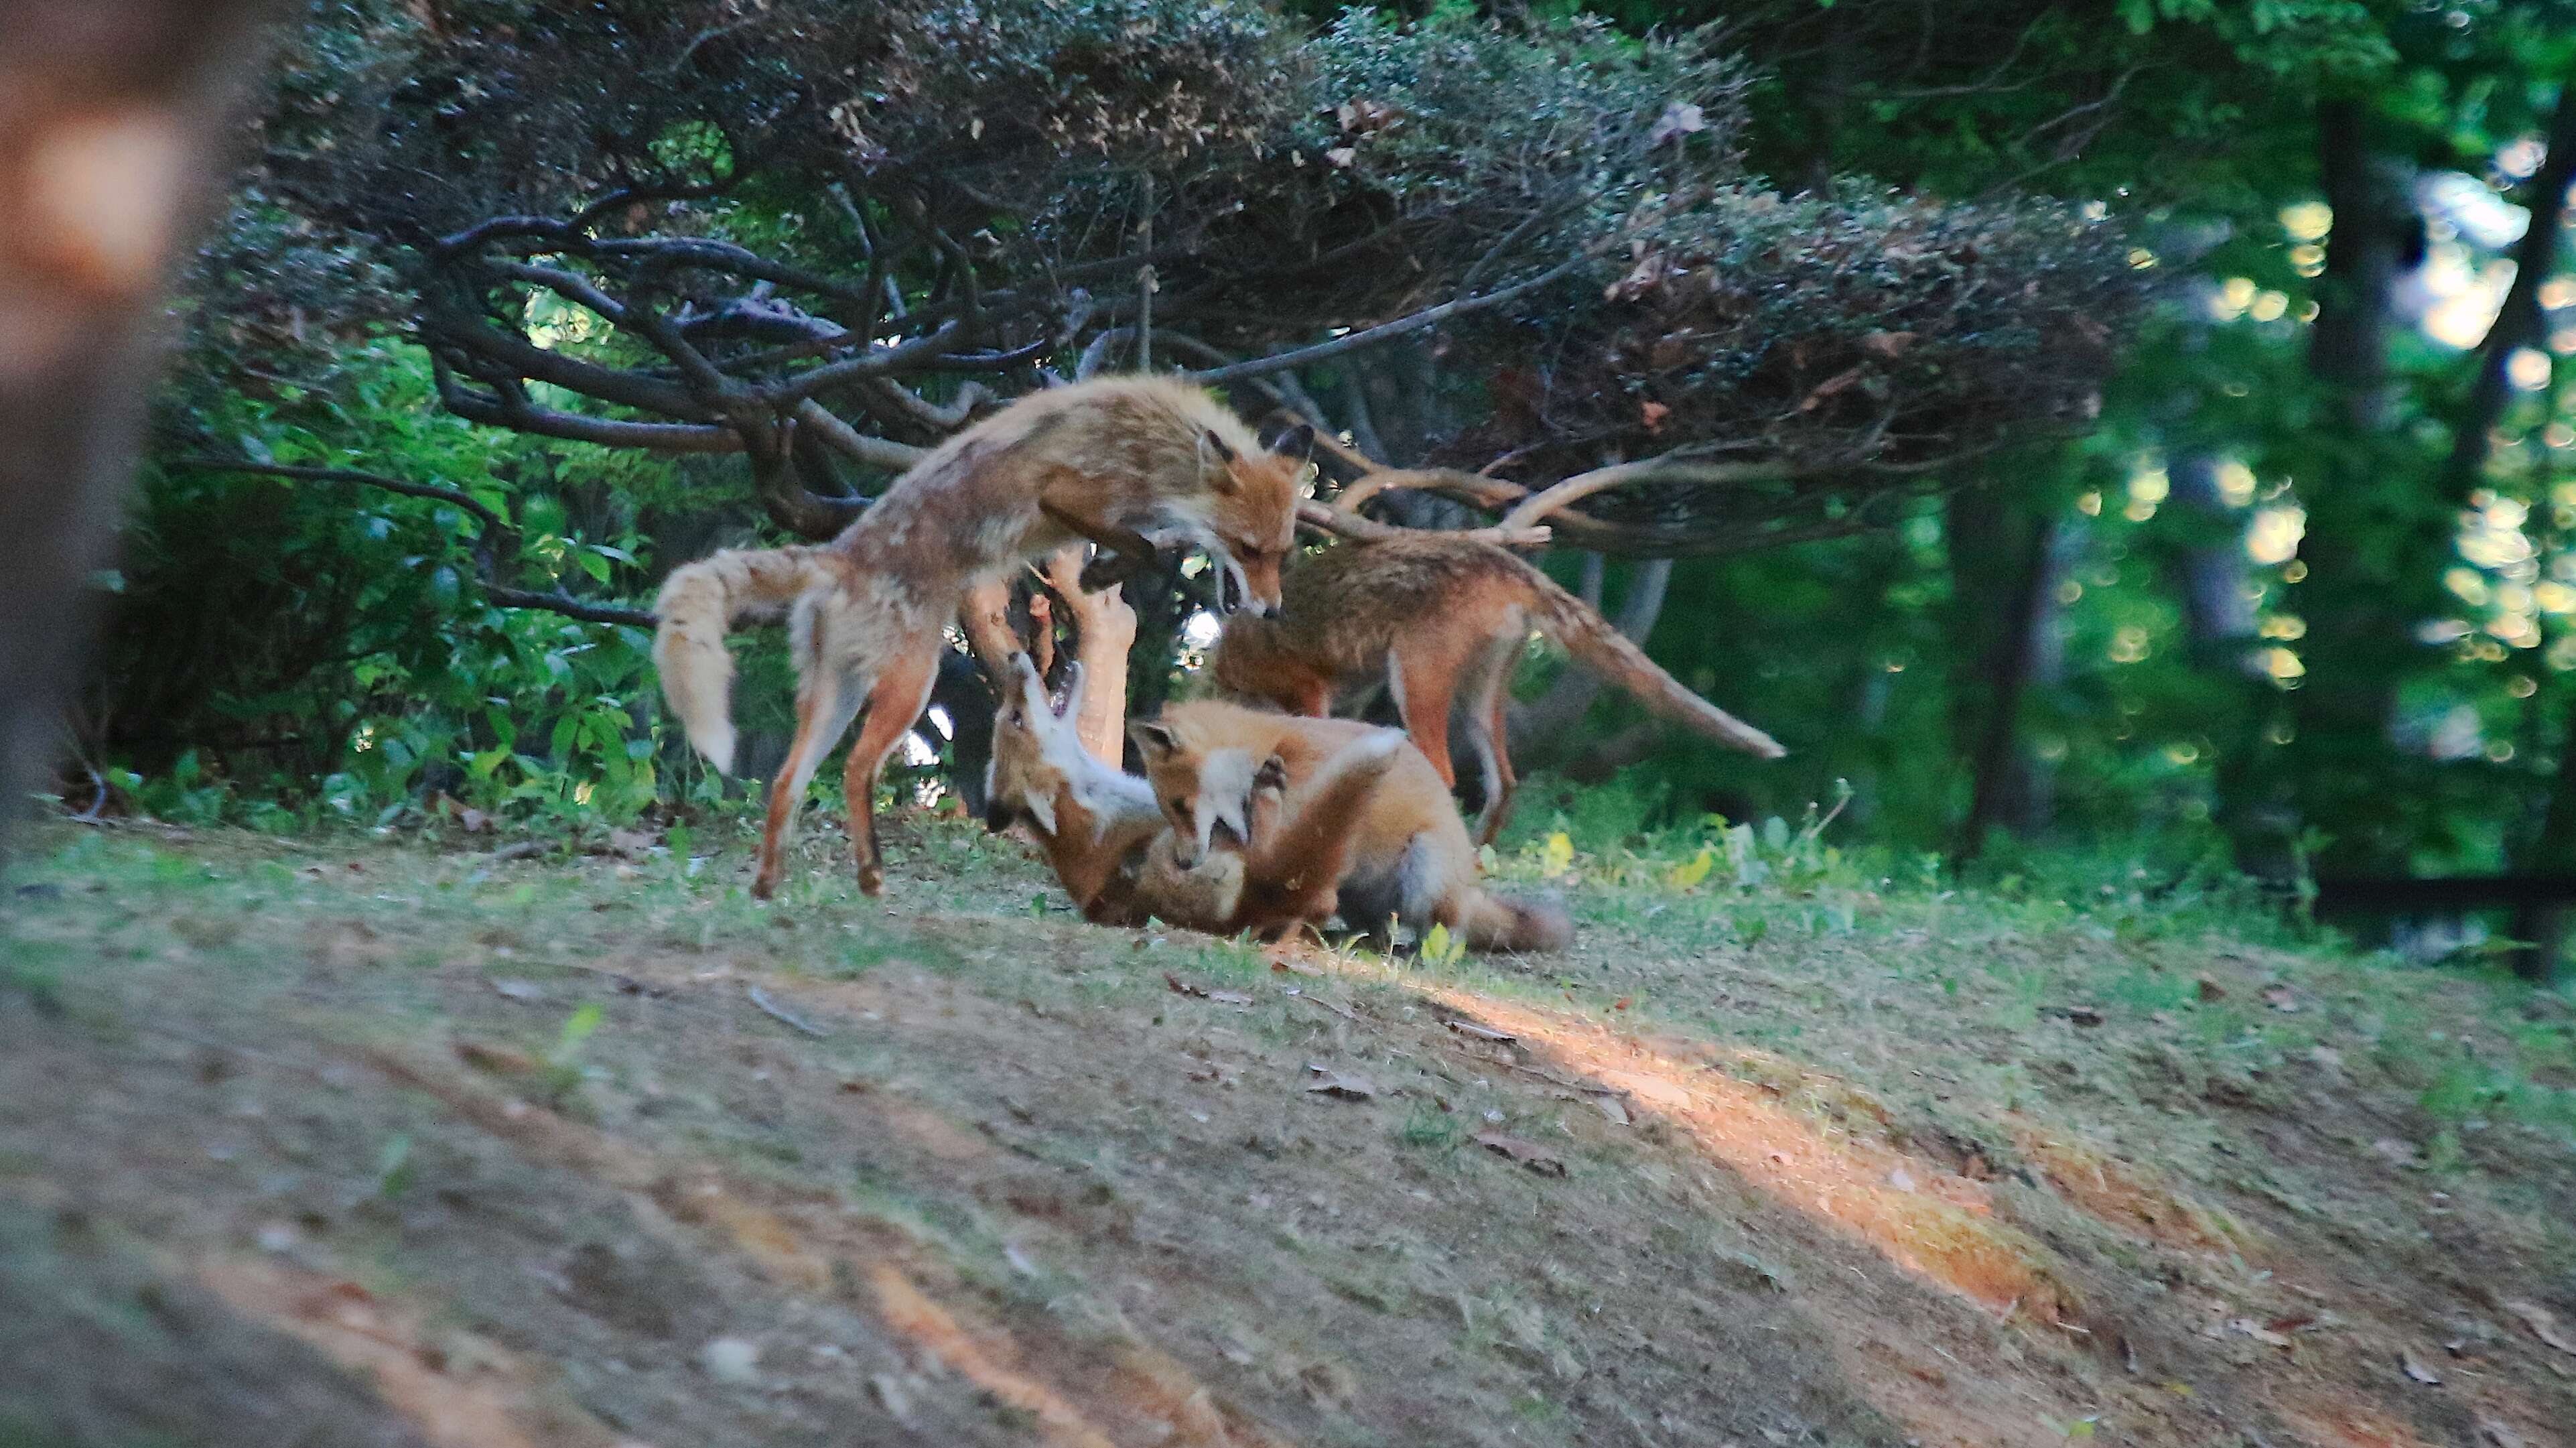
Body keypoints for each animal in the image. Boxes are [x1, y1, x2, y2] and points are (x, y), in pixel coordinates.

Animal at [654, 371, 1318, 891]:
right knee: (854, 770)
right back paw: (870, 873)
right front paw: (1104, 569)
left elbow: (1151, 541)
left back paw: (768, 883)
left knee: (788, 781)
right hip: (911, 683)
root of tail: (840, 556)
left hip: (836, 695)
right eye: (1247, 549)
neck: (1154, 444)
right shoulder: (1064, 492)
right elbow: (1144, 546)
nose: (1271, 611)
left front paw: (1106, 569)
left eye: (1280, 553)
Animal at [1128, 696, 1566, 953]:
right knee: (1373, 926)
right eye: (1169, 810)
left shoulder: (1302, 827)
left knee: (1447, 930)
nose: (1184, 863)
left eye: (1179, 805)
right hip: (1361, 893)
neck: (1273, 750)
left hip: (1426, 870)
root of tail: (1467, 884)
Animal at [1200, 535, 1772, 840]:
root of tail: (1503, 560)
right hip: (1479, 699)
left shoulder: (1309, 685)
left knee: (1446, 773)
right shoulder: (1348, 697)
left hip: (1415, 682)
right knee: (1504, 782)